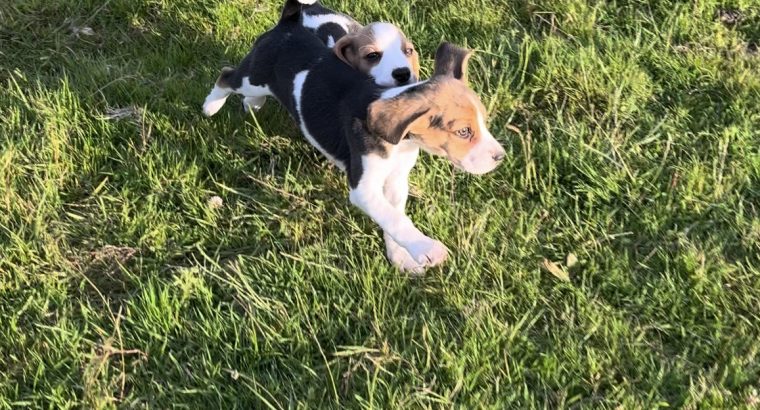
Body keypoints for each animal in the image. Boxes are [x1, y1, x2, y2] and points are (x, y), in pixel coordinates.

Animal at [205, 3, 508, 274]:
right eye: (463, 132)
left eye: (482, 122)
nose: (500, 157)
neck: (402, 142)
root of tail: (288, 25)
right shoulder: (364, 188)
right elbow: (395, 219)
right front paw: (426, 248)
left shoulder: (396, 179)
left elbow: (395, 216)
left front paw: (401, 256)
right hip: (253, 77)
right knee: (226, 76)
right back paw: (211, 106)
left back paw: (252, 105)